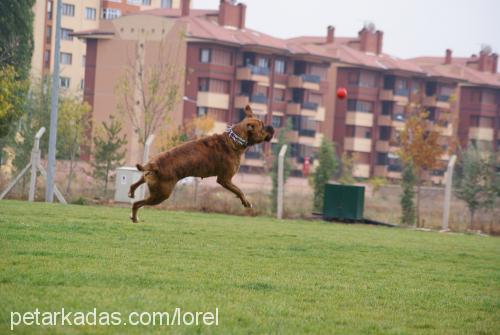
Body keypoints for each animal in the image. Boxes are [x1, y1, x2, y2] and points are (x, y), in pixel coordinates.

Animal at [128, 105, 274, 223]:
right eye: (262, 126)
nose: (272, 126)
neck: (235, 140)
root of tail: (154, 165)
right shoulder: (225, 180)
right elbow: (239, 190)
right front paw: (246, 203)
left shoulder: (226, 180)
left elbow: (238, 190)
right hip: (161, 194)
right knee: (137, 204)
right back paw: (134, 218)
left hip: (149, 179)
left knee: (135, 184)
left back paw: (131, 193)